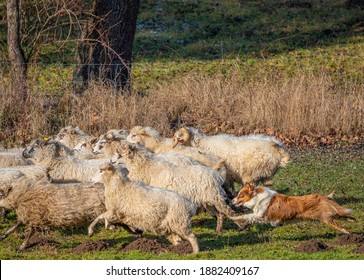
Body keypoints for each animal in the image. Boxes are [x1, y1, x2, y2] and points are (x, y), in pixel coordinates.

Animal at [118, 143, 246, 233]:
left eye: (121, 153)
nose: (114, 161)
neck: (148, 168)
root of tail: (215, 173)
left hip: (216, 198)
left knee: (228, 211)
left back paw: (241, 226)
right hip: (208, 201)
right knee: (220, 214)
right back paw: (218, 231)